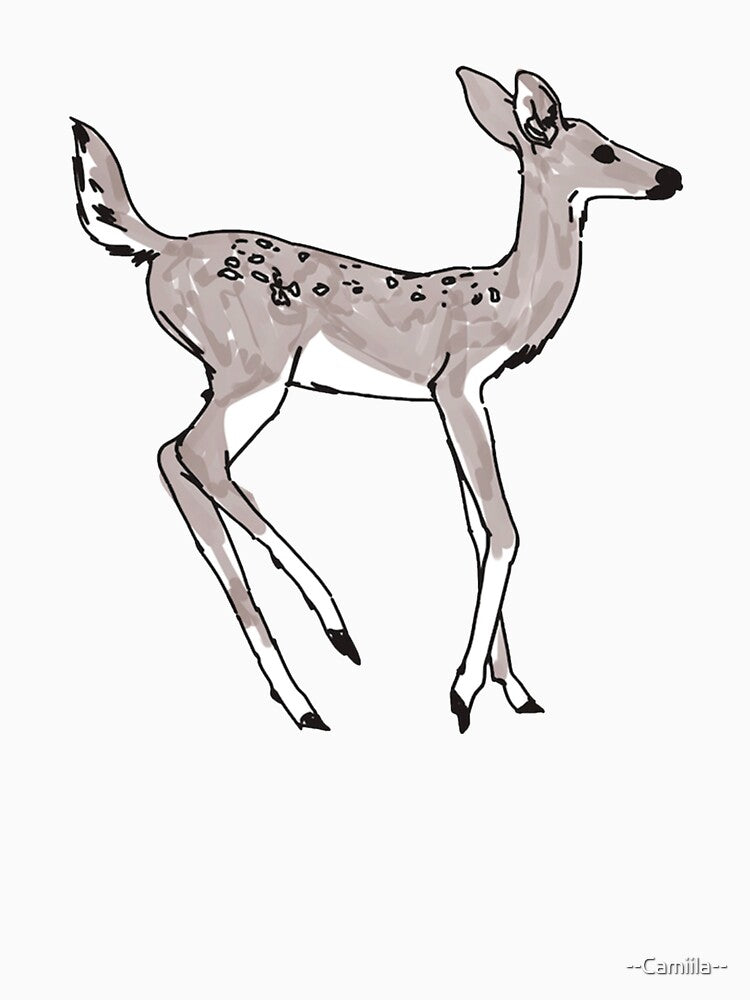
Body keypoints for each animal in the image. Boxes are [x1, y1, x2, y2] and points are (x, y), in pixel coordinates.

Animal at [72, 66, 682, 733]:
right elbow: (503, 528)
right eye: (602, 150)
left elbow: (476, 529)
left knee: (173, 456)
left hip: (231, 372)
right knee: (195, 453)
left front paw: (516, 690)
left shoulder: (451, 399)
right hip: (255, 367)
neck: (507, 301)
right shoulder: (457, 384)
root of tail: (164, 248)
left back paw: (305, 685)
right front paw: (463, 692)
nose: (669, 177)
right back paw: (327, 646)